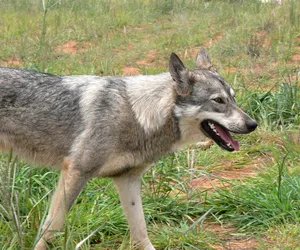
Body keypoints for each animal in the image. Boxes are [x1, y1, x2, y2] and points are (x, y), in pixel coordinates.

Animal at [0, 49, 258, 250]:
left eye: (234, 99)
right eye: (218, 101)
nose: (253, 124)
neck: (138, 115)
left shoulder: (127, 180)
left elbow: (141, 234)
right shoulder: (76, 172)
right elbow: (51, 228)